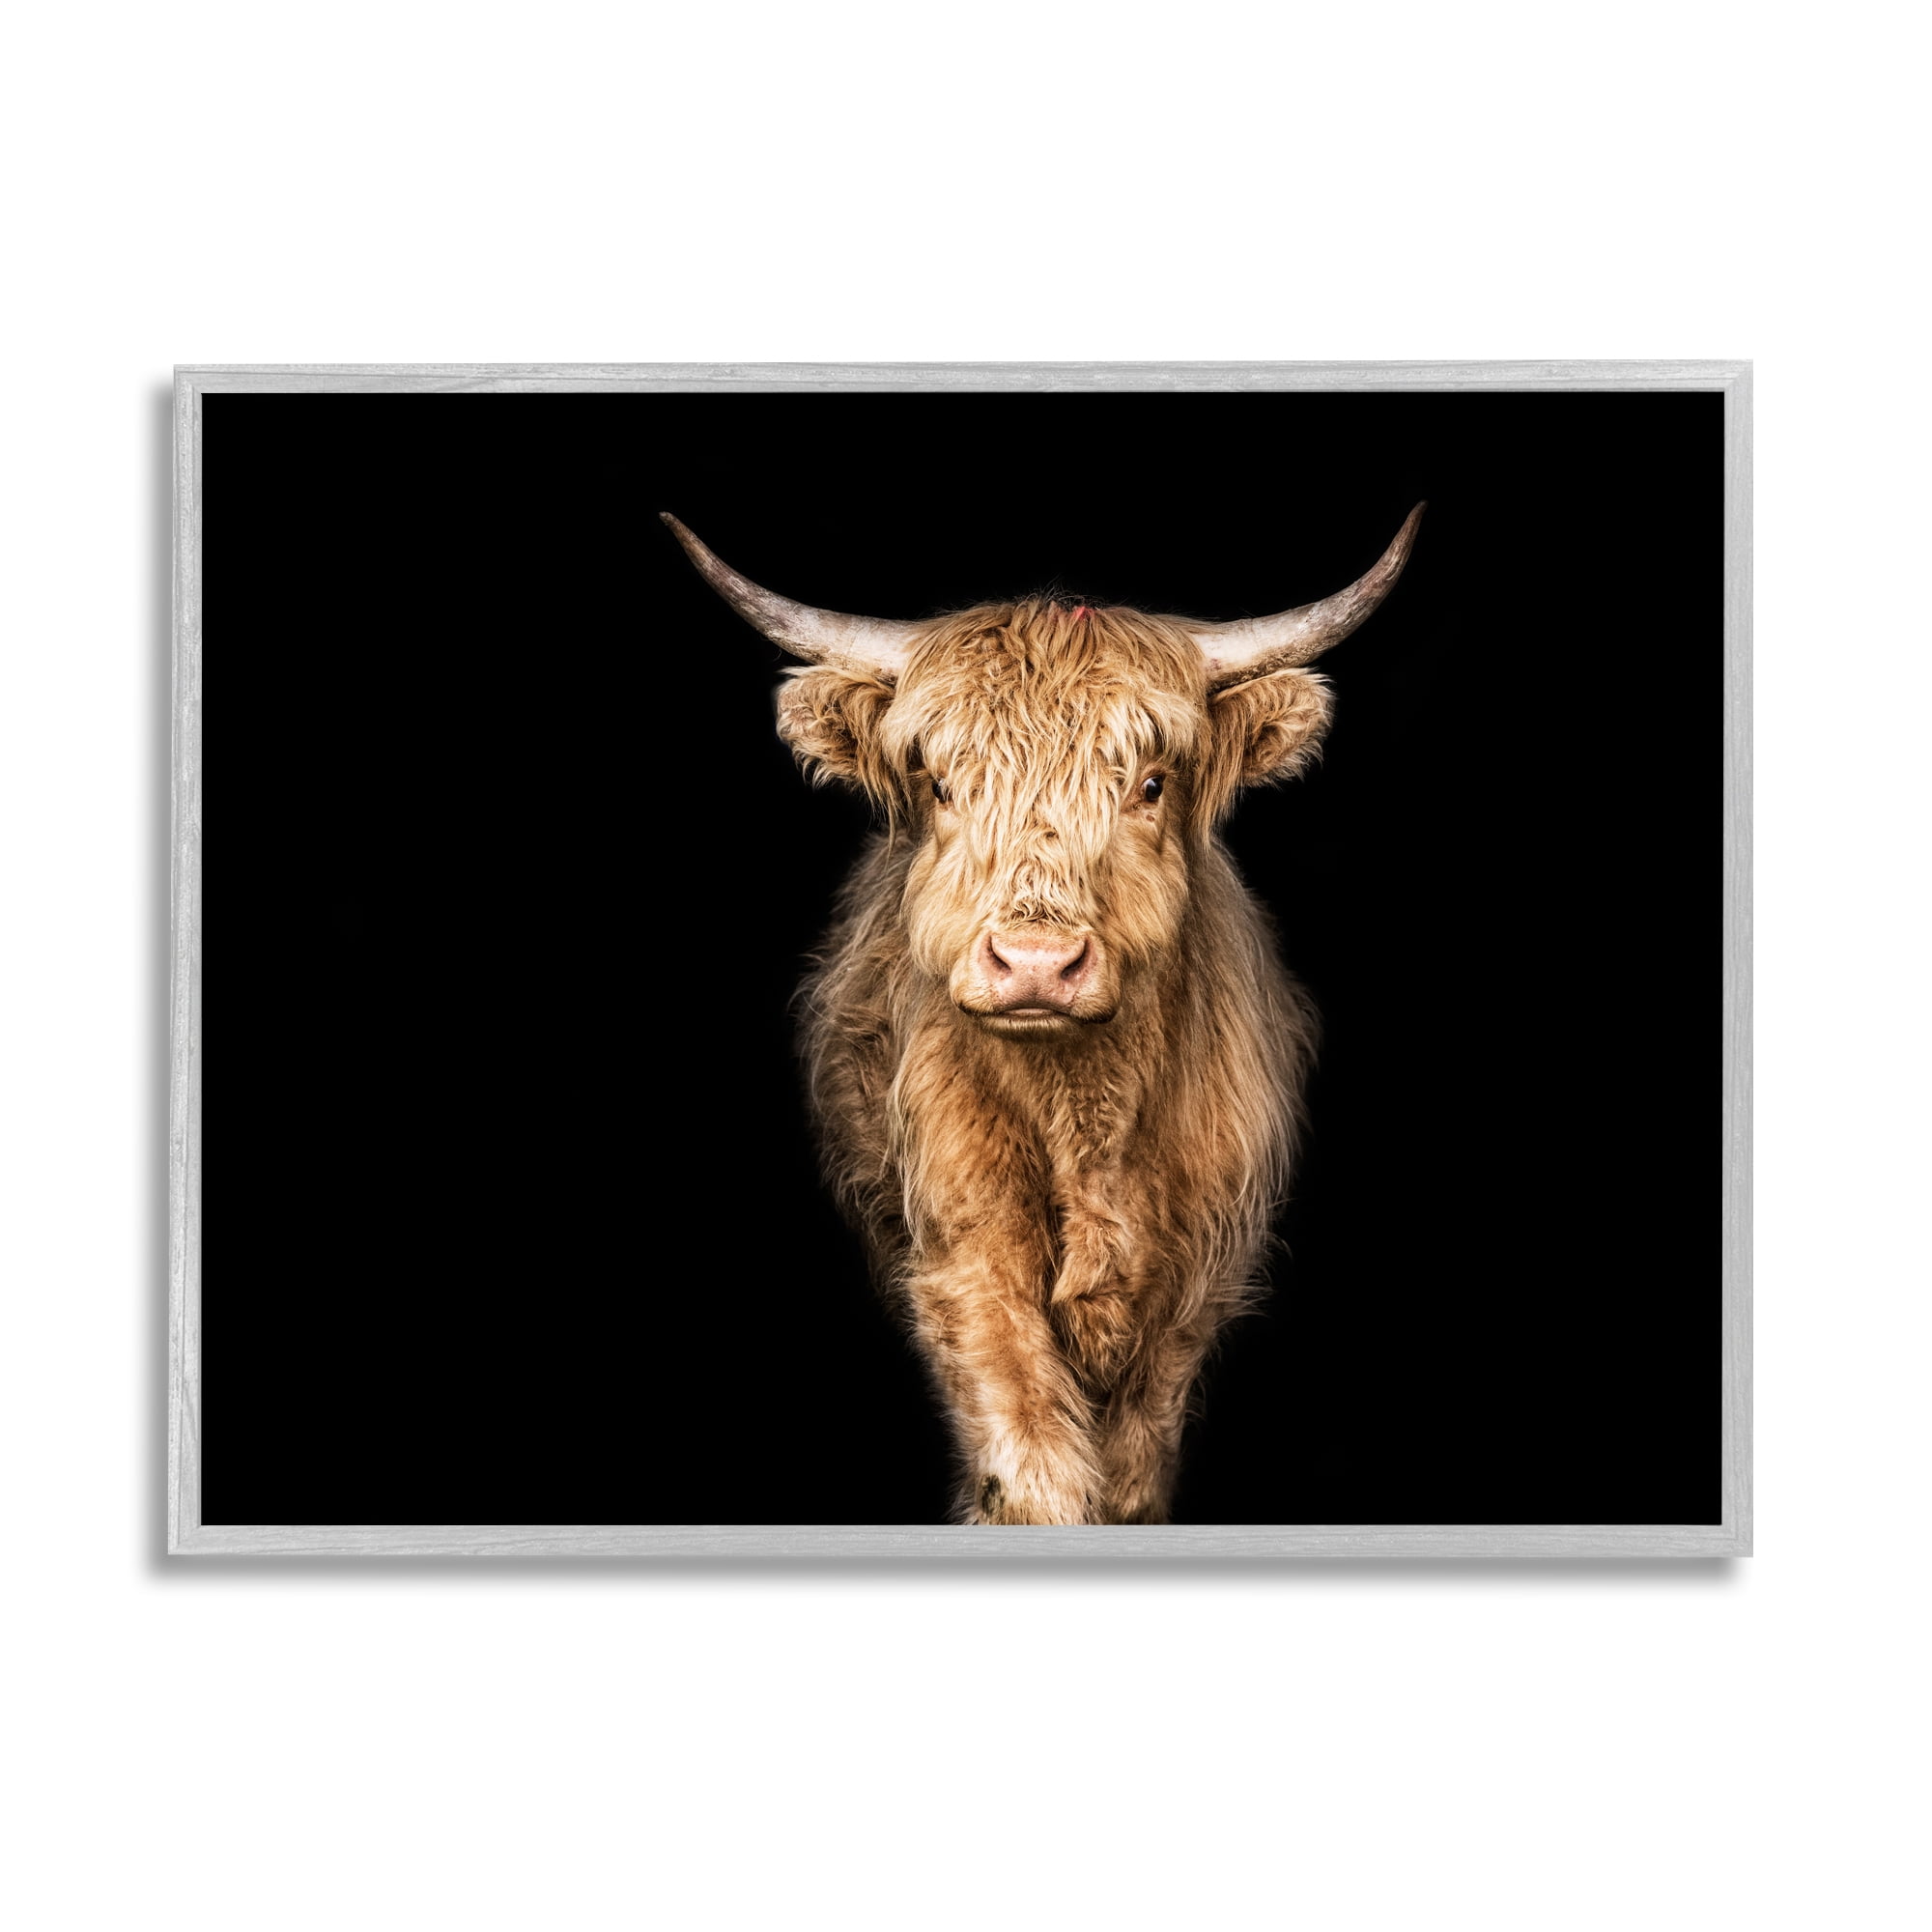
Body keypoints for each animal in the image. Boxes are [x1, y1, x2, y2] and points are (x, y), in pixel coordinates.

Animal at [665, 507, 1425, 1525]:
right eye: (942, 785)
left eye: (1150, 783)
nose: (1034, 965)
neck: (1087, 1119)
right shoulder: (964, 1258)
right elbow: (1029, 1464)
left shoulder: (1194, 1291)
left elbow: (1133, 1473)